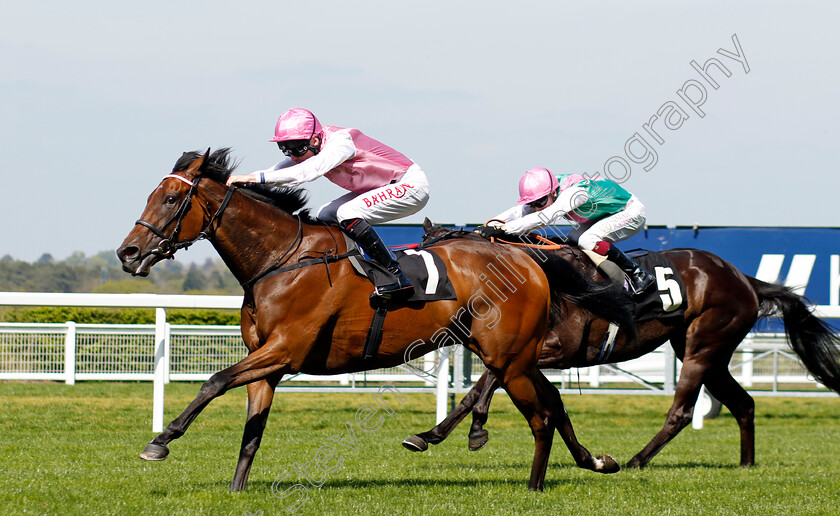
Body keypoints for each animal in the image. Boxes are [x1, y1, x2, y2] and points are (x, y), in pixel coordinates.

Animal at [116, 148, 632, 492]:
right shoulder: (268, 362)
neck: (281, 259)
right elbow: (251, 432)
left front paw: (160, 441)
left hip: (508, 357)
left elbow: (213, 381)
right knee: (553, 403)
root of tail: (527, 259)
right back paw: (594, 461)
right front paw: (237, 490)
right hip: (515, 356)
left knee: (541, 416)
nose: (128, 253)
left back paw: (533, 486)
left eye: (170, 200)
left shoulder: (285, 350)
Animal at [402, 224, 840, 470]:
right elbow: (492, 389)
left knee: (682, 412)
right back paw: (746, 465)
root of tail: (744, 279)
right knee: (743, 403)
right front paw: (430, 433)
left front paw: (473, 428)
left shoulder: (547, 349)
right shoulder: (528, 352)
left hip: (703, 346)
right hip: (705, 351)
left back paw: (637, 460)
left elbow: (484, 384)